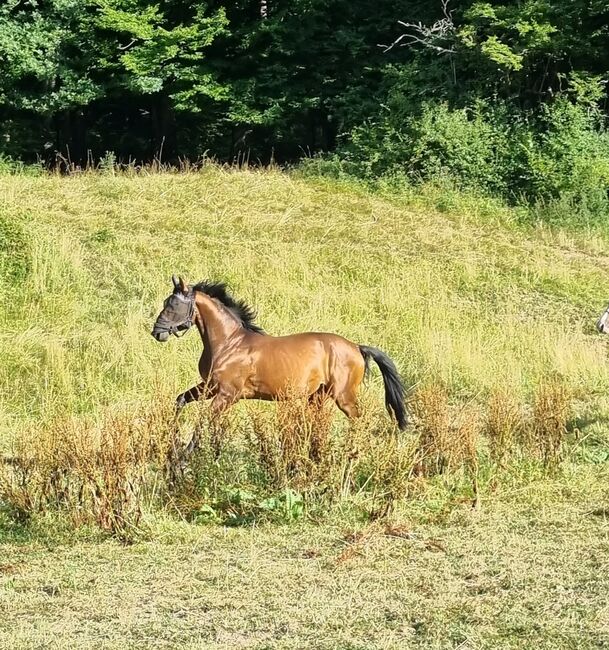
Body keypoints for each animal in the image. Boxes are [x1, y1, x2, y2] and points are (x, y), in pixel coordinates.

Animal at [152, 274, 408, 430]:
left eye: (173, 305)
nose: (157, 332)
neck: (228, 343)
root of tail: (356, 347)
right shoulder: (209, 387)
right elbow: (180, 400)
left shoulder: (226, 394)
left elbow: (203, 424)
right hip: (317, 396)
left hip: (344, 396)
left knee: (358, 422)